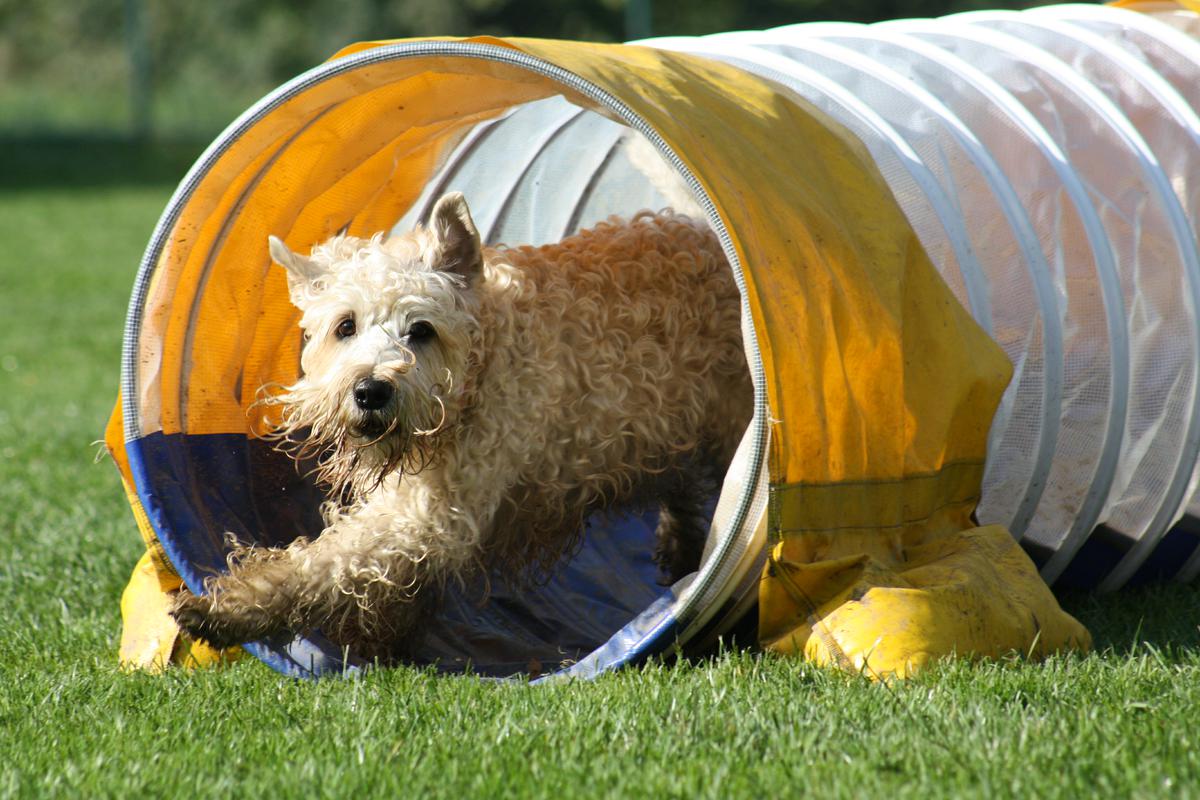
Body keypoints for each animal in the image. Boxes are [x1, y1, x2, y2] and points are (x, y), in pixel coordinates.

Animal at [171, 190, 748, 662]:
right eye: (345, 326)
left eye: (421, 329)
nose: (371, 391)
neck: (483, 361)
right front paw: (378, 639)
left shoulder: (436, 510)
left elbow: (329, 561)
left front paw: (225, 609)